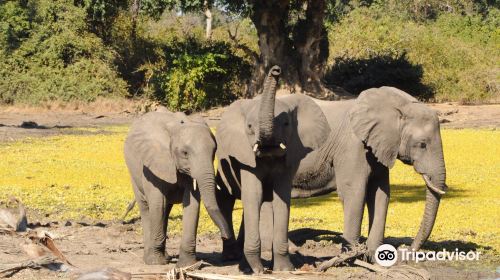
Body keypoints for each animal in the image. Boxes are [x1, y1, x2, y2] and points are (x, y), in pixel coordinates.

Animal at [125, 110, 234, 266]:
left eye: (214, 152)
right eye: (185, 153)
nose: (226, 236)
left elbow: (193, 205)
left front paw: (189, 265)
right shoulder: (154, 164)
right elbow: (158, 204)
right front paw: (156, 262)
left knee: (166, 210)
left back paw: (166, 257)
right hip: (134, 173)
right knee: (147, 208)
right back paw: (152, 259)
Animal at [215, 65, 332, 272]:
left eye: (286, 124)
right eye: (249, 126)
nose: (276, 70)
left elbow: (281, 198)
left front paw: (284, 269)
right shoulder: (247, 159)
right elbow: (253, 195)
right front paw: (255, 271)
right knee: (226, 200)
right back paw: (233, 259)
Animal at [290, 87, 450, 256]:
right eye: (422, 144)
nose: (407, 250)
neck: (400, 106)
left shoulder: (379, 148)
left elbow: (380, 193)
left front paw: (373, 255)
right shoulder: (353, 146)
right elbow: (355, 192)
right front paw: (351, 256)